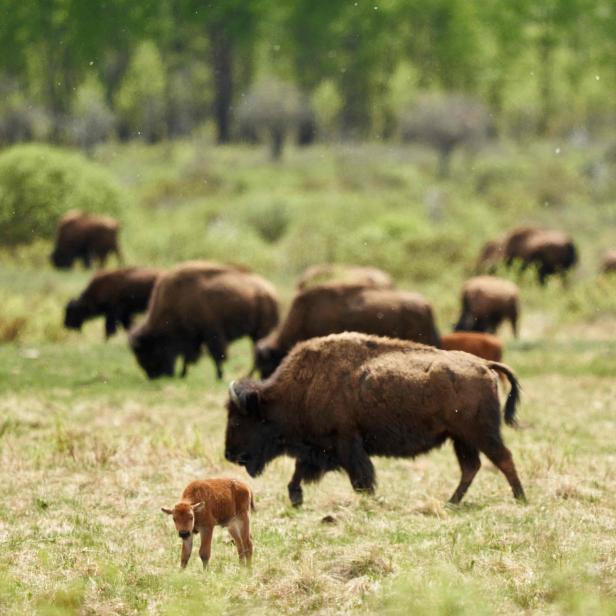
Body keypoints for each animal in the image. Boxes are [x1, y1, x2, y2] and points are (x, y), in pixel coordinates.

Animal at [130, 262, 280, 378]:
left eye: (149, 352)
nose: (154, 377)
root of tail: (271, 292)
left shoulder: (211, 334)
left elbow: (216, 355)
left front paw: (219, 376)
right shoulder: (193, 338)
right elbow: (189, 357)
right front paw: (183, 374)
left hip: (260, 332)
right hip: (255, 333)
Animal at [225, 332, 524, 506]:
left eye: (239, 420)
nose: (229, 454)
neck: (300, 388)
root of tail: (484, 364)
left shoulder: (346, 443)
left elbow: (360, 477)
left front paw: (369, 499)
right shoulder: (320, 449)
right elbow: (300, 471)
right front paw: (295, 497)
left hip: (479, 433)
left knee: (503, 458)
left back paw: (520, 498)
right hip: (461, 438)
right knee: (471, 467)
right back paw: (452, 502)